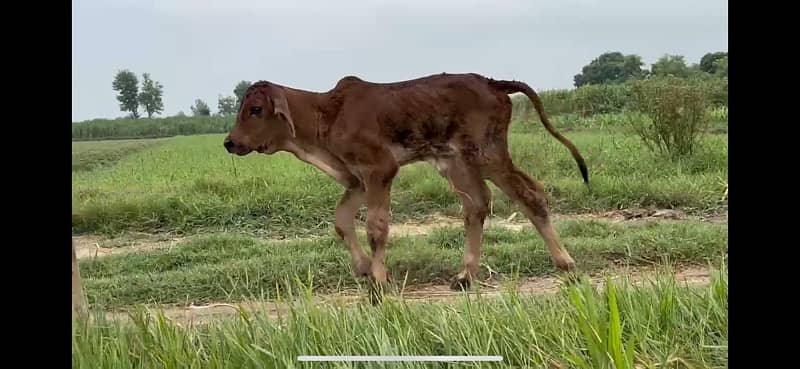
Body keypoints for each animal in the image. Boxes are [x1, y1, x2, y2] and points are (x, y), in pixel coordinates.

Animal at [225, 72, 588, 294]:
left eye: (255, 109)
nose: (229, 143)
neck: (326, 116)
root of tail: (493, 82)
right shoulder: (357, 179)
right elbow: (341, 221)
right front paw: (364, 269)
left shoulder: (380, 170)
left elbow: (376, 227)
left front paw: (379, 283)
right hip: (456, 163)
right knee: (477, 205)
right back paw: (465, 275)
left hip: (488, 153)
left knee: (530, 194)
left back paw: (567, 265)